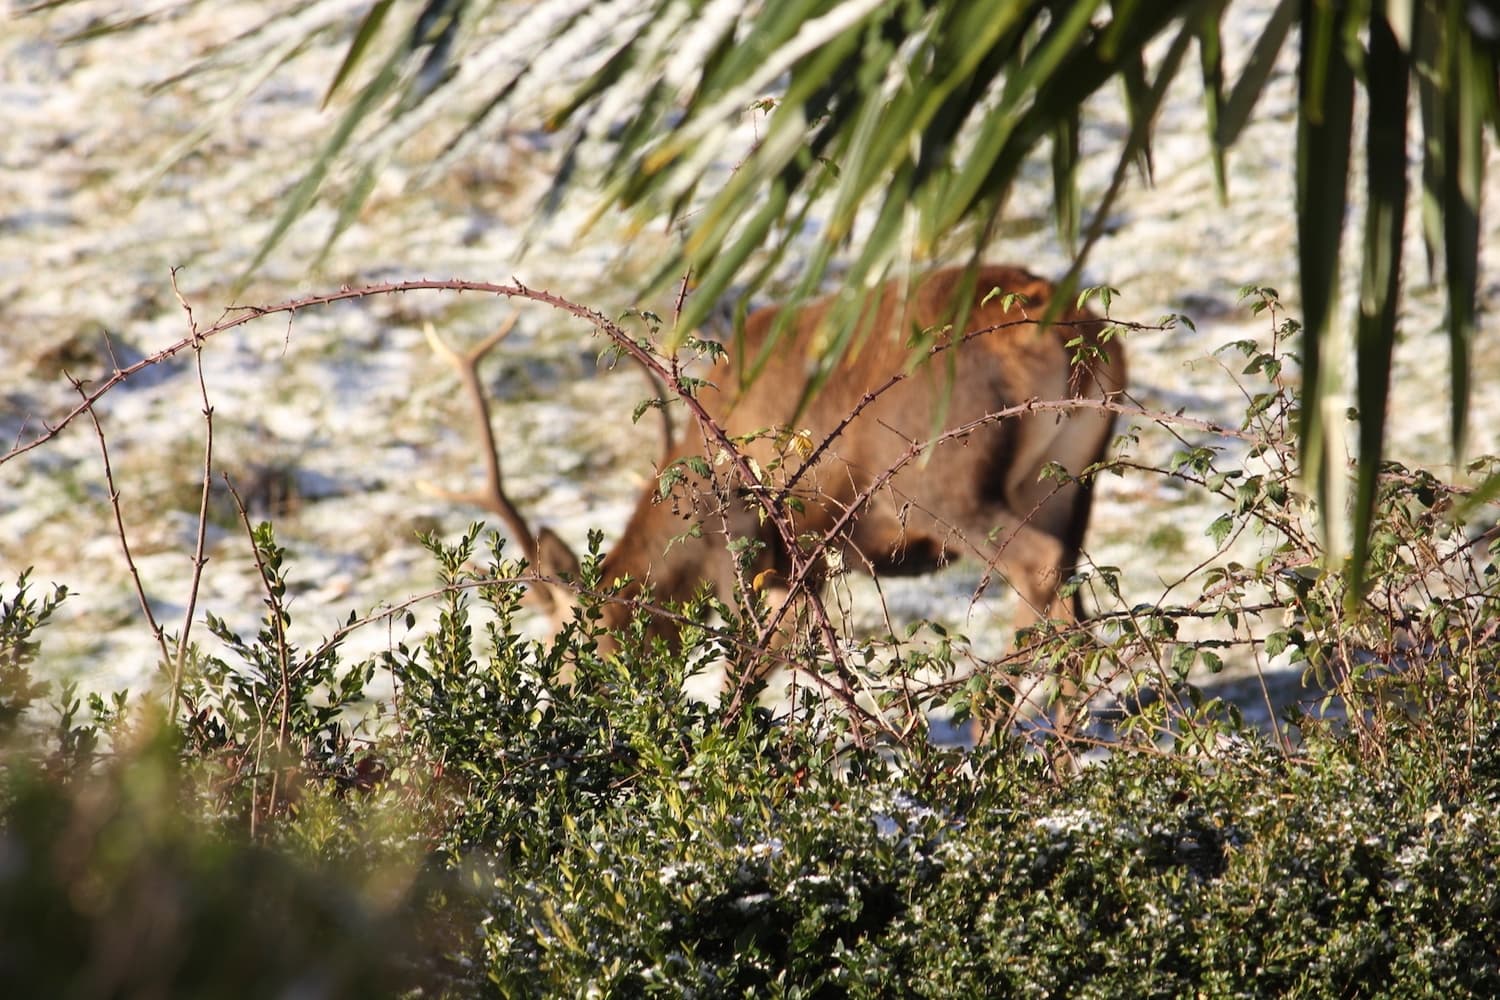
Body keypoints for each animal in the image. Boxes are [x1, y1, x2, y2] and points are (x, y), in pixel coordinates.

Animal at [426, 265, 1126, 718]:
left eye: (569, 654)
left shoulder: (746, 548)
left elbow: (750, 666)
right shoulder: (809, 558)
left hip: (941, 480)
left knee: (1036, 570)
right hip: (1070, 487)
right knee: (1073, 598)